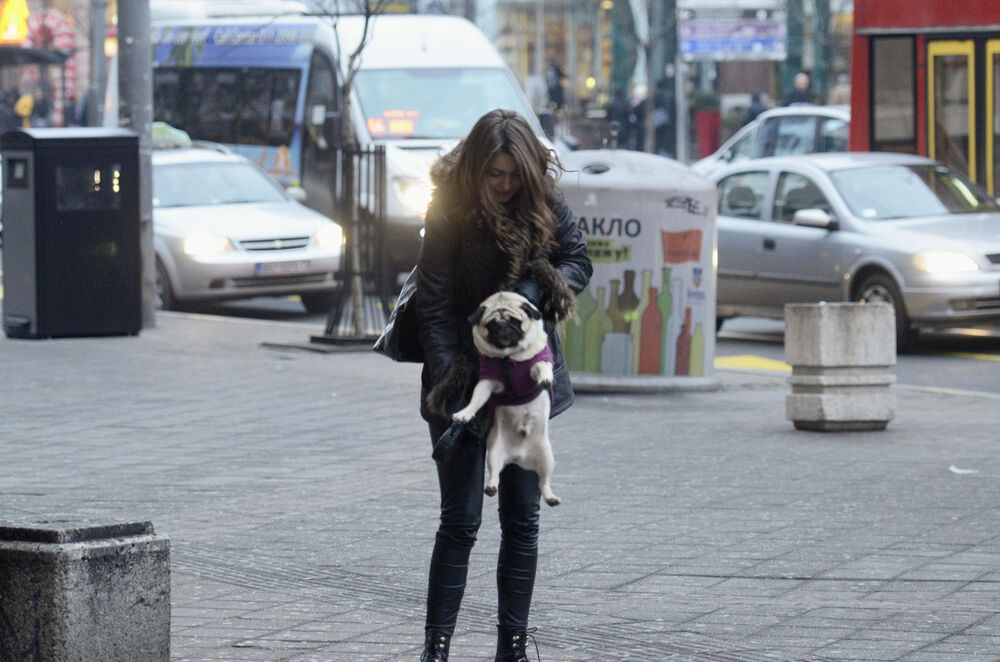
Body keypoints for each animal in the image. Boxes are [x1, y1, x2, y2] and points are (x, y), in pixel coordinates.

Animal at [452, 291, 561, 506]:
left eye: (514, 321)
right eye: (491, 324)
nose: (503, 327)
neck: (508, 357)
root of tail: (519, 458)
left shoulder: (537, 362)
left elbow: (542, 367)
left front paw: (545, 379)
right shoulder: (487, 382)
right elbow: (476, 400)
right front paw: (465, 414)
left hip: (547, 458)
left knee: (543, 482)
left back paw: (551, 497)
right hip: (494, 452)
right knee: (495, 473)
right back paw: (491, 487)